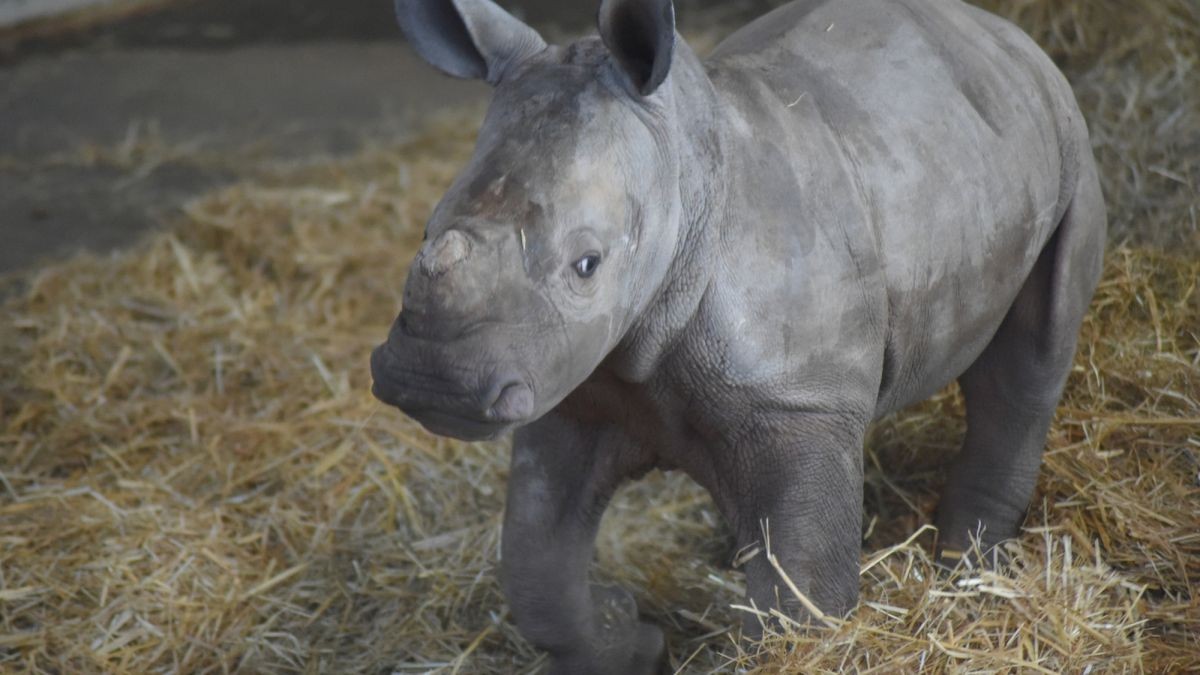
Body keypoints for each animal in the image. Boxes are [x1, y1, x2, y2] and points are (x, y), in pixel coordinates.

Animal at [367, 0, 1104, 667]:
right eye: (427, 228)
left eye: (587, 264)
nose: (429, 381)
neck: (682, 179)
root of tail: (1002, 32)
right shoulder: (576, 390)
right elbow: (536, 563)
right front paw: (631, 640)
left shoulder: (799, 399)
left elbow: (800, 597)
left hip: (1062, 146)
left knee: (1030, 358)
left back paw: (967, 570)